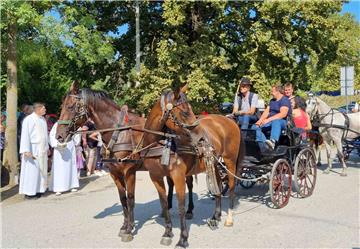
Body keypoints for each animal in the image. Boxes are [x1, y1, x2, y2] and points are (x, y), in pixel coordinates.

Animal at [56, 82, 195, 242]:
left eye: (70, 106)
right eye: (62, 106)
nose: (58, 135)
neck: (118, 132)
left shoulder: (129, 171)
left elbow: (130, 199)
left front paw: (129, 229)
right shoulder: (114, 172)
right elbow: (122, 199)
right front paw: (124, 226)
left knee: (189, 184)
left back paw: (189, 210)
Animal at [142, 87, 243, 247]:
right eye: (184, 112)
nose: (201, 135)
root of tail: (230, 120)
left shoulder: (178, 177)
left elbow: (181, 207)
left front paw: (183, 238)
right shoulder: (156, 177)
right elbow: (164, 204)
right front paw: (168, 232)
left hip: (230, 161)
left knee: (232, 186)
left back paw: (229, 218)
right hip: (214, 163)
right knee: (218, 187)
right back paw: (215, 216)